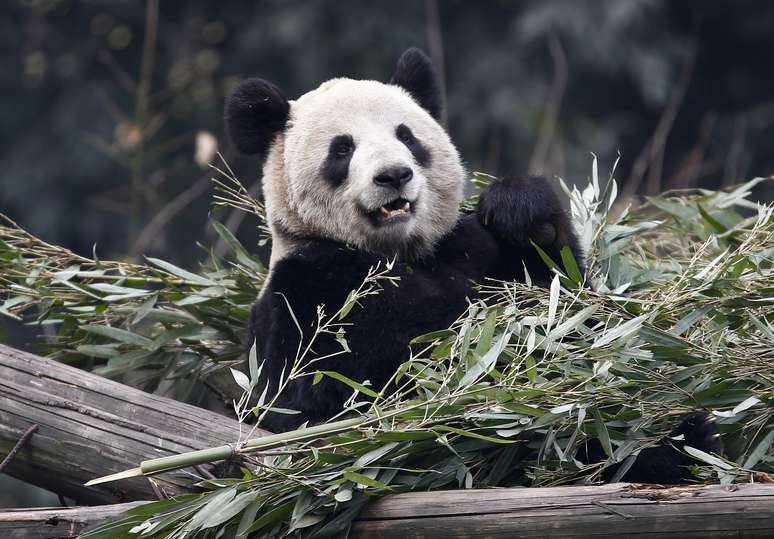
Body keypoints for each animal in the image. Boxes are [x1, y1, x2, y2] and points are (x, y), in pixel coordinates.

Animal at [225, 48, 721, 484]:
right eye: (342, 149)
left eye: (406, 136)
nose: (394, 175)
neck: (403, 251)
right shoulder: (307, 288)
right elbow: (327, 393)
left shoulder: (474, 250)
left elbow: (570, 304)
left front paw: (518, 209)